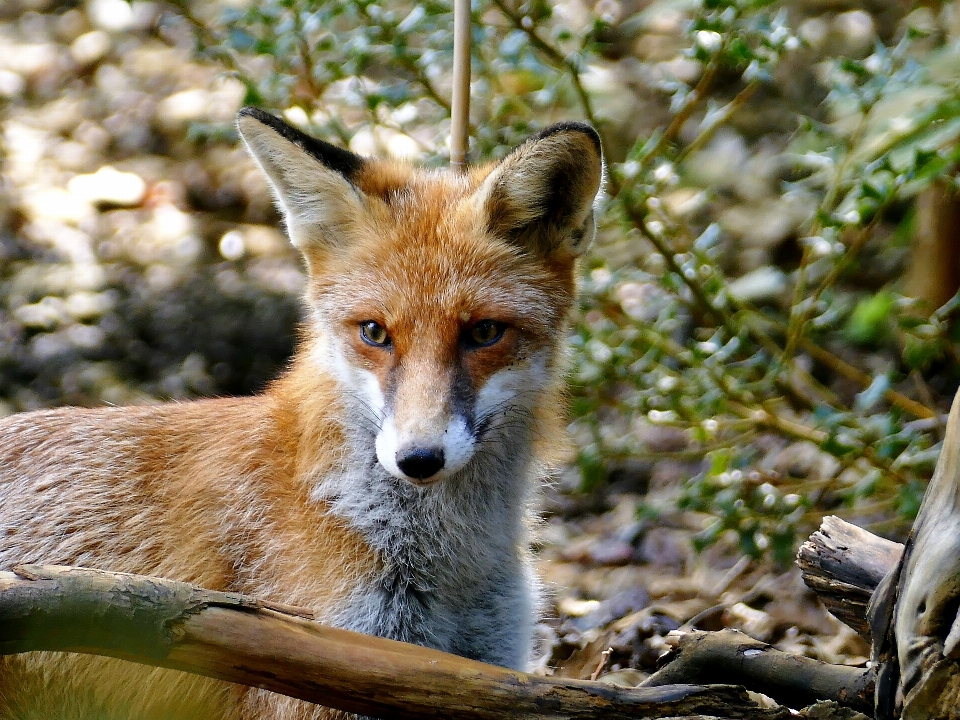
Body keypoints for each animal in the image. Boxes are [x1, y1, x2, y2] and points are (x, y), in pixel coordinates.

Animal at [0, 108, 600, 720]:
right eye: (374, 332)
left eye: (484, 333)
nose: (418, 458)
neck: (451, 564)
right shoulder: (322, 666)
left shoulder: (481, 667)